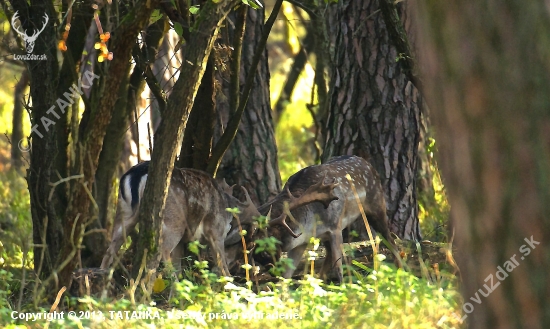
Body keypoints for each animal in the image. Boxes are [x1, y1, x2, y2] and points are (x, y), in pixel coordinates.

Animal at [101, 161, 260, 274]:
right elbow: (223, 267)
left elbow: (179, 263)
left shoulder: (183, 242)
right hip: (173, 220)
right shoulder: (216, 232)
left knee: (111, 248)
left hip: (124, 211)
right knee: (163, 250)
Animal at [226, 155, 398, 280]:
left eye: (265, 251)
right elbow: (287, 276)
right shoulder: (302, 241)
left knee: (390, 239)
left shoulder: (335, 227)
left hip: (377, 205)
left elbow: (338, 268)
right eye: (252, 253)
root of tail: (368, 163)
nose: (274, 272)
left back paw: (400, 271)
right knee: (327, 257)